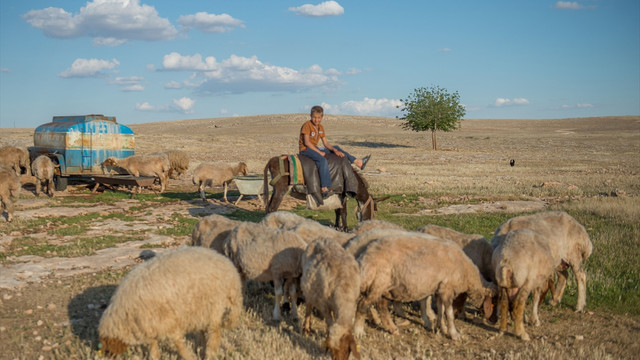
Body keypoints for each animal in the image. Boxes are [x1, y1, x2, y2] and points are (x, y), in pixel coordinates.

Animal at [97, 248, 242, 360]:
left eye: (106, 348)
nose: (108, 356)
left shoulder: (168, 321)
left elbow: (177, 343)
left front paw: (188, 356)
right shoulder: (152, 323)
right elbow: (153, 344)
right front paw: (155, 356)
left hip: (215, 305)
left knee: (214, 332)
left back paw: (209, 354)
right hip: (201, 309)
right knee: (204, 330)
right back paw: (201, 347)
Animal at [356, 233, 496, 340]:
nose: (493, 320)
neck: (467, 272)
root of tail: (366, 256)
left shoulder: (439, 289)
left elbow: (441, 311)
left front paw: (442, 328)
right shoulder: (447, 289)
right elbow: (449, 313)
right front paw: (454, 334)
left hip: (385, 287)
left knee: (382, 307)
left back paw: (392, 329)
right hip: (378, 283)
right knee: (363, 305)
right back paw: (359, 331)